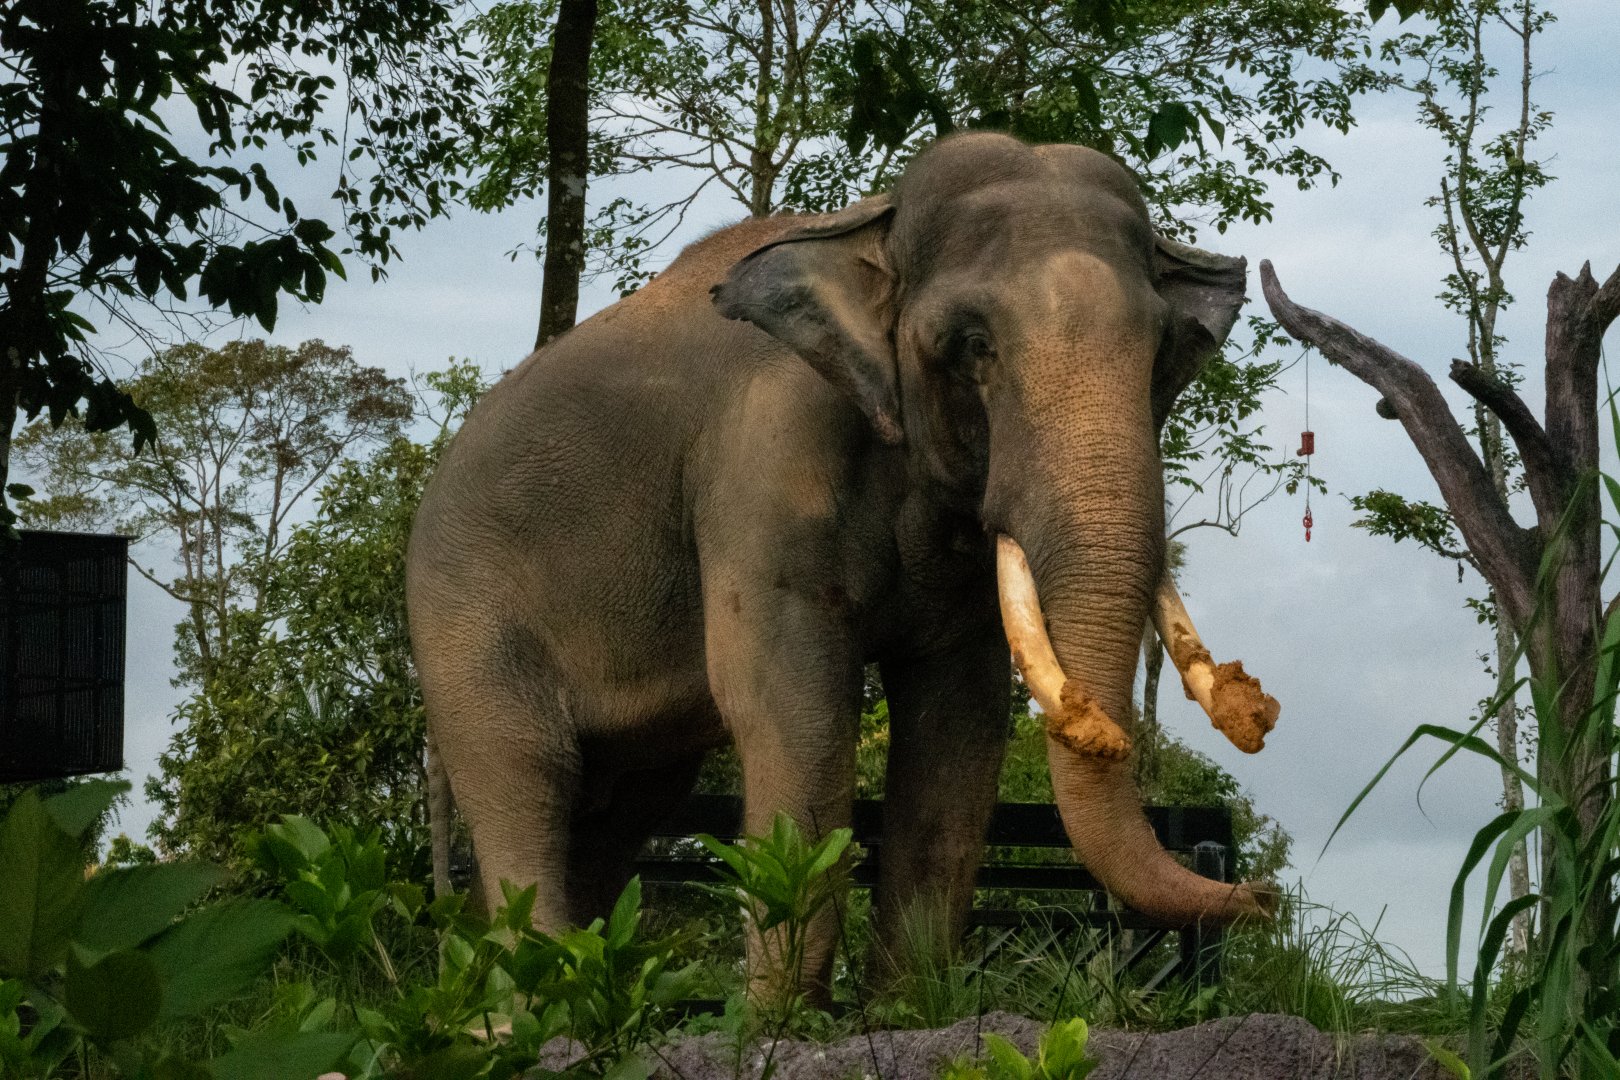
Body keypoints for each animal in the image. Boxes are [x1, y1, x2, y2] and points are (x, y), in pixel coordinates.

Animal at [406, 131, 1279, 999]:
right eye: (974, 346)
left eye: (1162, 352)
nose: (1262, 894)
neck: (873, 230)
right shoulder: (762, 462)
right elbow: (791, 701)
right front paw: (780, 1016)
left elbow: (960, 715)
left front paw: (909, 1009)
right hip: (463, 612)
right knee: (526, 773)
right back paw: (541, 1003)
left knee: (622, 803)